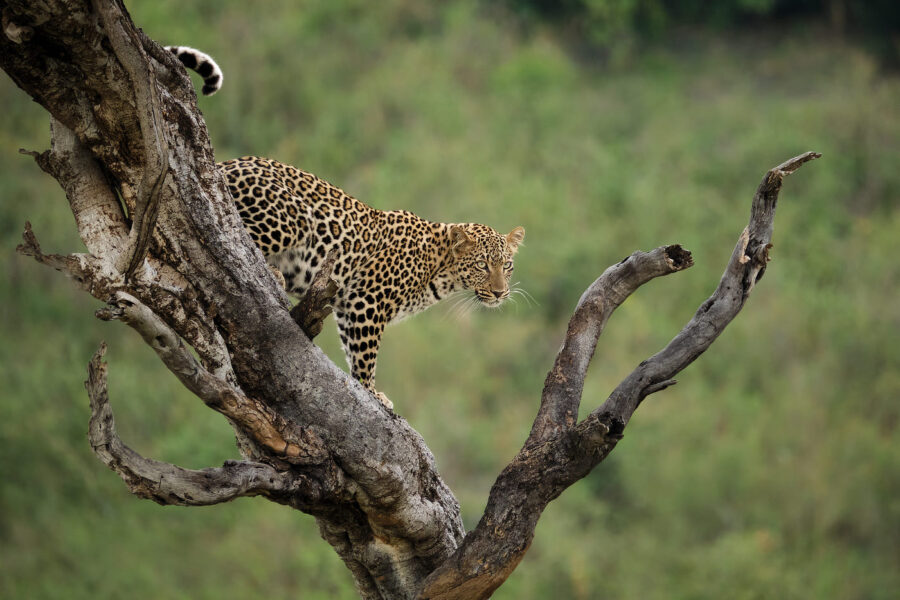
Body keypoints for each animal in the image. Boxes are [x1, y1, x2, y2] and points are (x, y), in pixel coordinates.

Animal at [168, 47, 526, 409]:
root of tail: (225, 163)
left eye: (507, 266)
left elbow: (353, 348)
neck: (439, 269)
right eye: (482, 265)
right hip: (289, 219)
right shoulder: (368, 301)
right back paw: (275, 272)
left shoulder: (345, 305)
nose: (501, 293)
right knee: (234, 233)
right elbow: (366, 355)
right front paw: (371, 392)